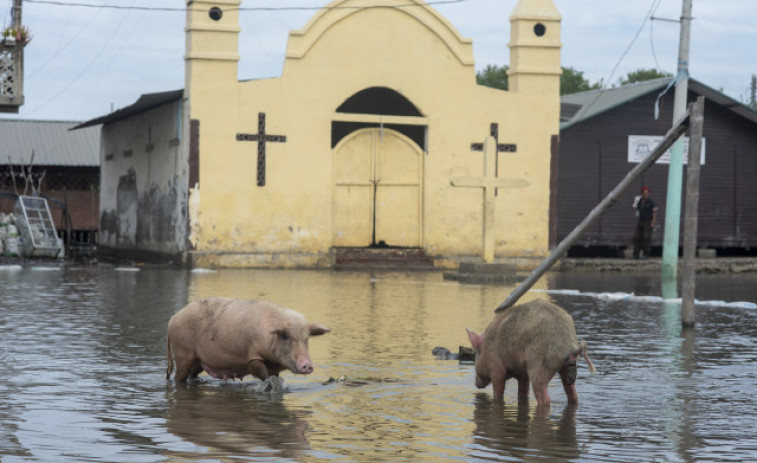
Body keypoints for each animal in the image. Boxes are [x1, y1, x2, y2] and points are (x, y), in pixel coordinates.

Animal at [167, 300, 330, 382]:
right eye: (285, 336)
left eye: (306, 338)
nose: (307, 365)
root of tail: (172, 319)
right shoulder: (252, 356)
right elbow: (263, 374)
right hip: (183, 352)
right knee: (178, 376)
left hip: (198, 362)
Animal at [464, 300, 592, 406]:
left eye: (476, 356)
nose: (476, 384)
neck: (486, 347)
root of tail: (569, 348)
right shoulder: (523, 373)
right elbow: (523, 392)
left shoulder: (496, 368)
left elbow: (498, 391)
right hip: (566, 368)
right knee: (573, 394)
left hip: (539, 367)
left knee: (545, 398)